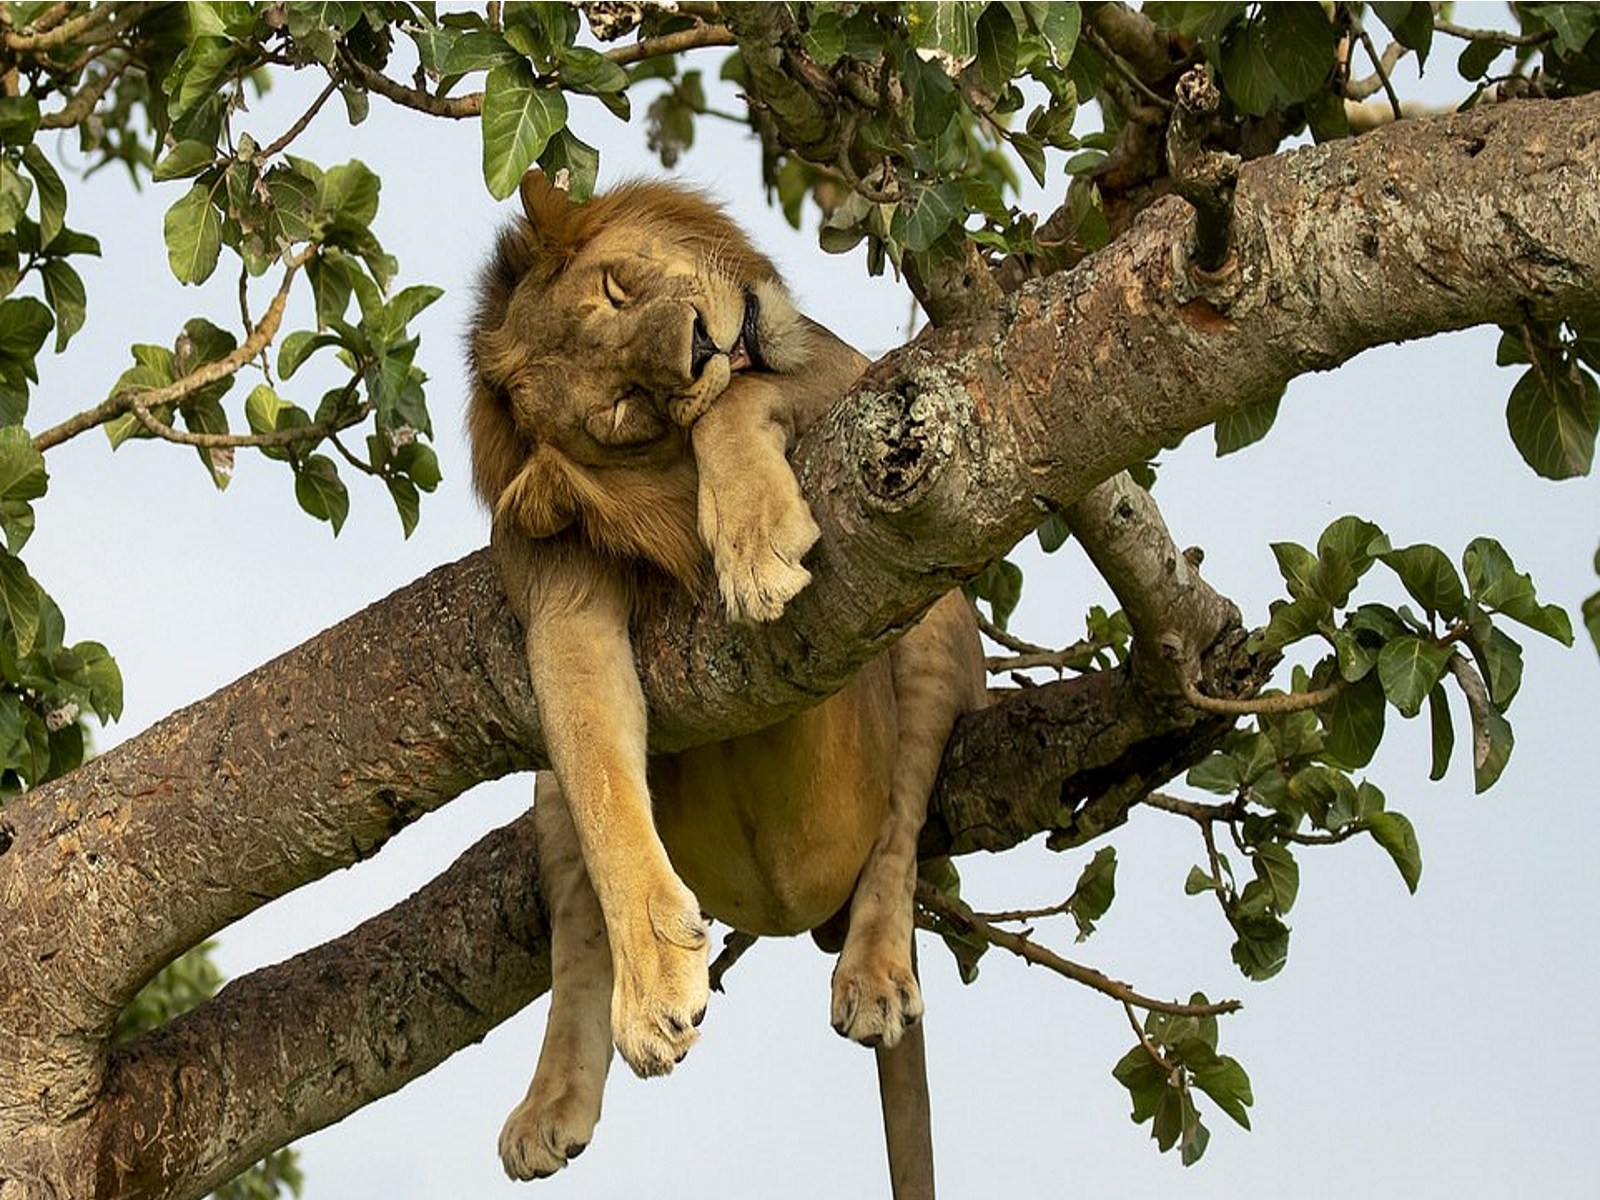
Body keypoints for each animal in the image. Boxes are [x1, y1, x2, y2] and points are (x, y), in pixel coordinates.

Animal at [467, 171, 985, 1200]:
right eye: (624, 406)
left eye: (617, 287)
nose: (704, 343)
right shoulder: (559, 604)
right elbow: (603, 791)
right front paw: (658, 984)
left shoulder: (855, 380)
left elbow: (738, 405)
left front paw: (750, 540)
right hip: (546, 794)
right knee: (575, 917)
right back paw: (554, 1104)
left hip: (936, 616)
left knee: (902, 824)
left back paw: (873, 973)